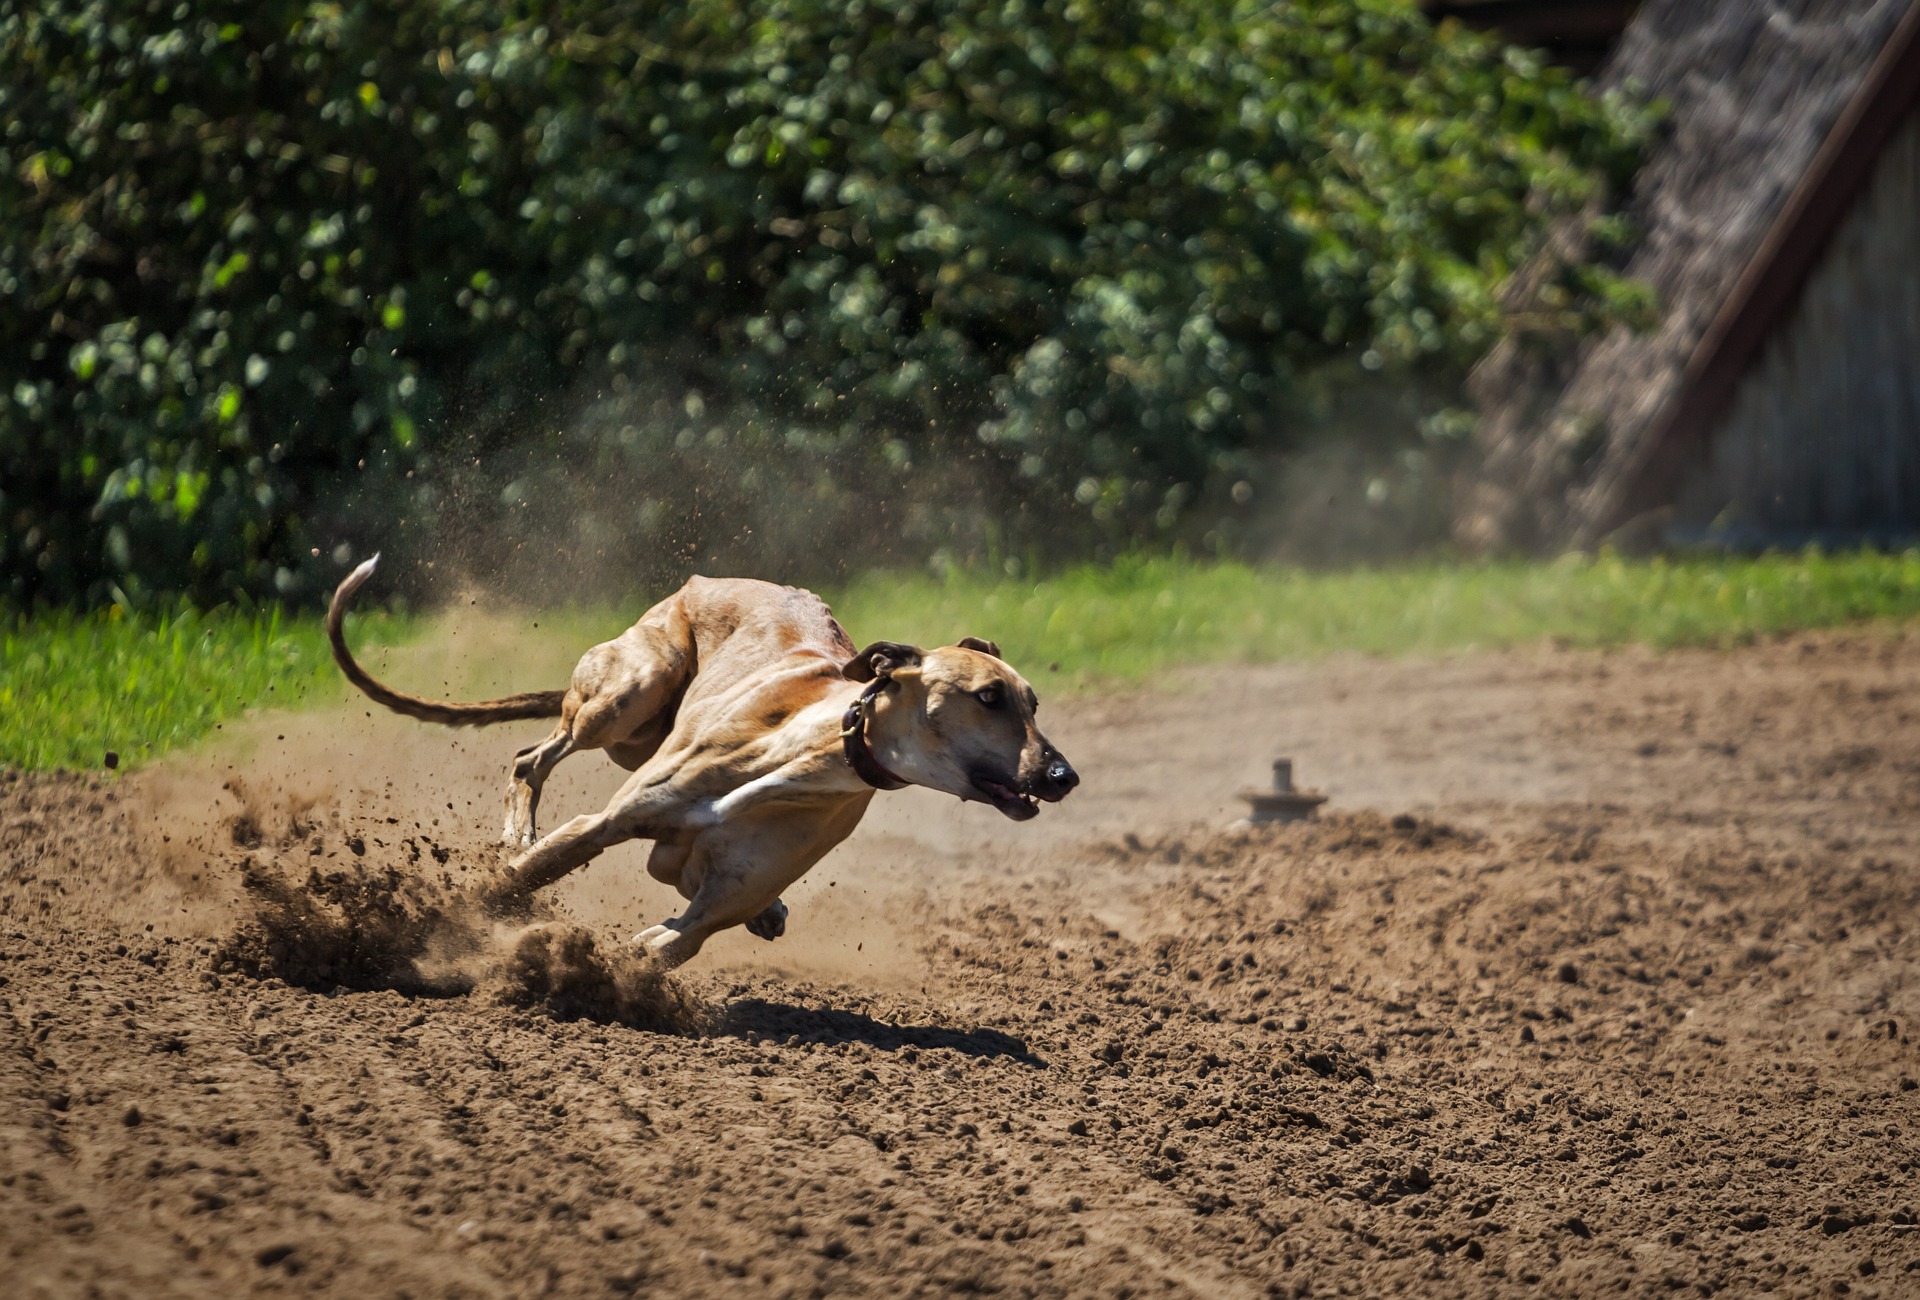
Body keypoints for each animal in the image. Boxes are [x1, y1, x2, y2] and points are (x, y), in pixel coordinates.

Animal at [330, 556, 1082, 963]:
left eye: (1034, 702)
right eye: (989, 697)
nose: (1063, 777)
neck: (807, 752)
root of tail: (704, 579)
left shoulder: (708, 909)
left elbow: (669, 941)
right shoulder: (602, 825)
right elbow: (520, 875)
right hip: (630, 692)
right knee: (531, 757)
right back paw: (518, 832)